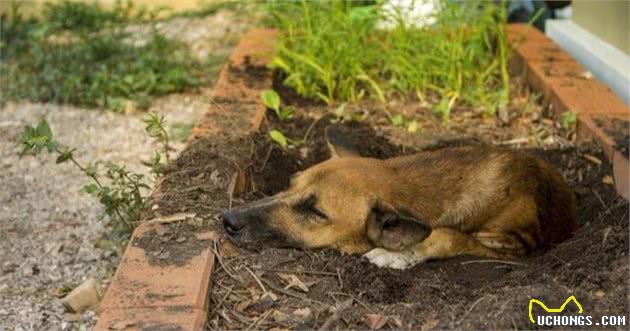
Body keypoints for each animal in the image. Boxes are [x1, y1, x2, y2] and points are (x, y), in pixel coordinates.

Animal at [222, 130, 576, 270]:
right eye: (289, 184)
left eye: (314, 211)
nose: (227, 221)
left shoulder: (518, 247)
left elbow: (448, 235)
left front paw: (399, 253)